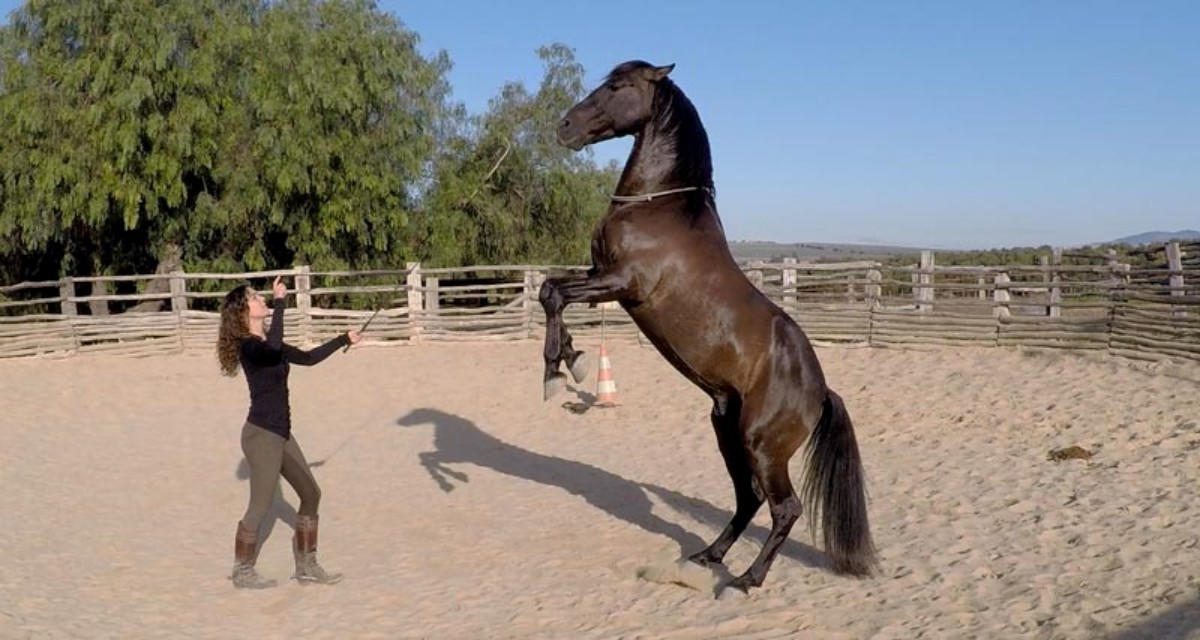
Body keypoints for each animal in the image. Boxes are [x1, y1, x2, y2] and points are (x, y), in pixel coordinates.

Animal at [540, 62, 878, 590]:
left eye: (619, 86)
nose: (566, 127)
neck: (656, 207)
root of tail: (821, 392)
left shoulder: (624, 283)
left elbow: (554, 294)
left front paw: (558, 369)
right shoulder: (599, 276)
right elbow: (550, 289)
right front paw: (570, 359)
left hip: (762, 446)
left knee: (785, 508)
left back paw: (746, 580)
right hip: (727, 431)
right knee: (748, 500)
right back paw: (707, 556)